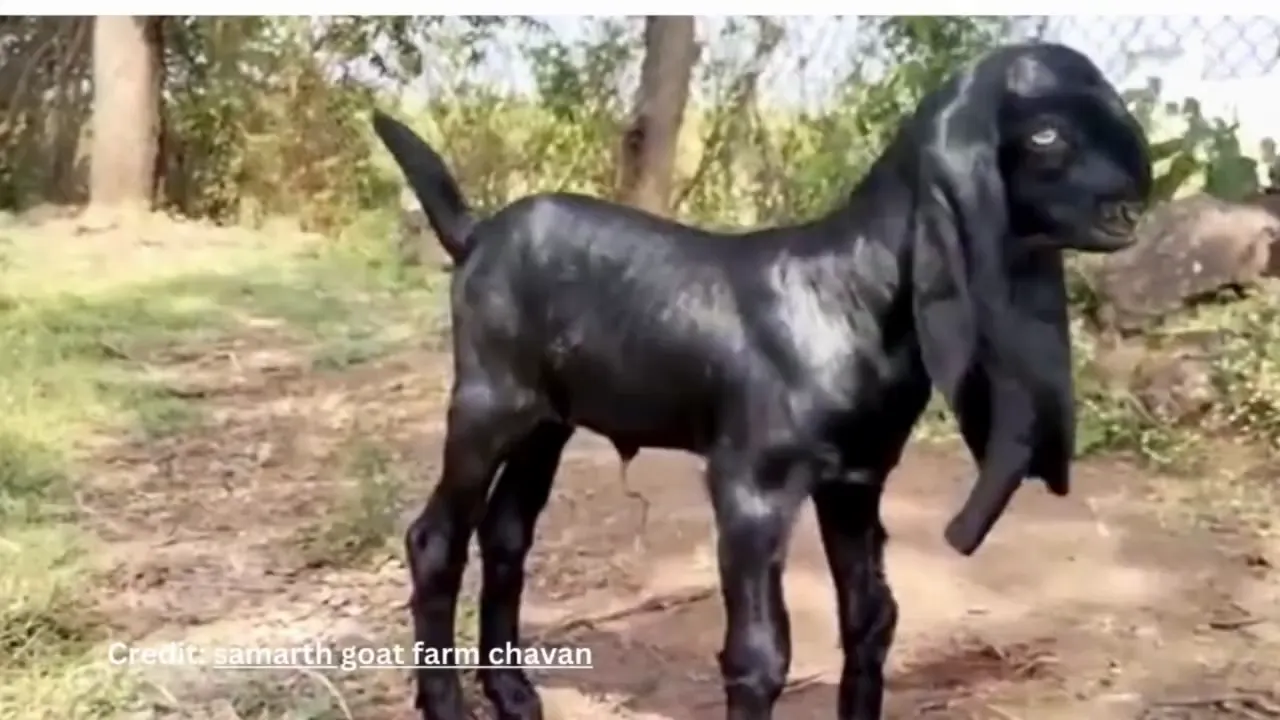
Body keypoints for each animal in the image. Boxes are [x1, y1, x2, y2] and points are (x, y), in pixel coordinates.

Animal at [372, 42, 1152, 720]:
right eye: (1047, 136)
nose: (1131, 211)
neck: (849, 288)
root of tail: (477, 235)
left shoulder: (855, 482)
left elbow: (872, 618)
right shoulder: (751, 486)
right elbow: (758, 653)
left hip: (548, 420)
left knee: (506, 533)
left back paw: (512, 693)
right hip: (488, 402)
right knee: (435, 539)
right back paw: (445, 704)